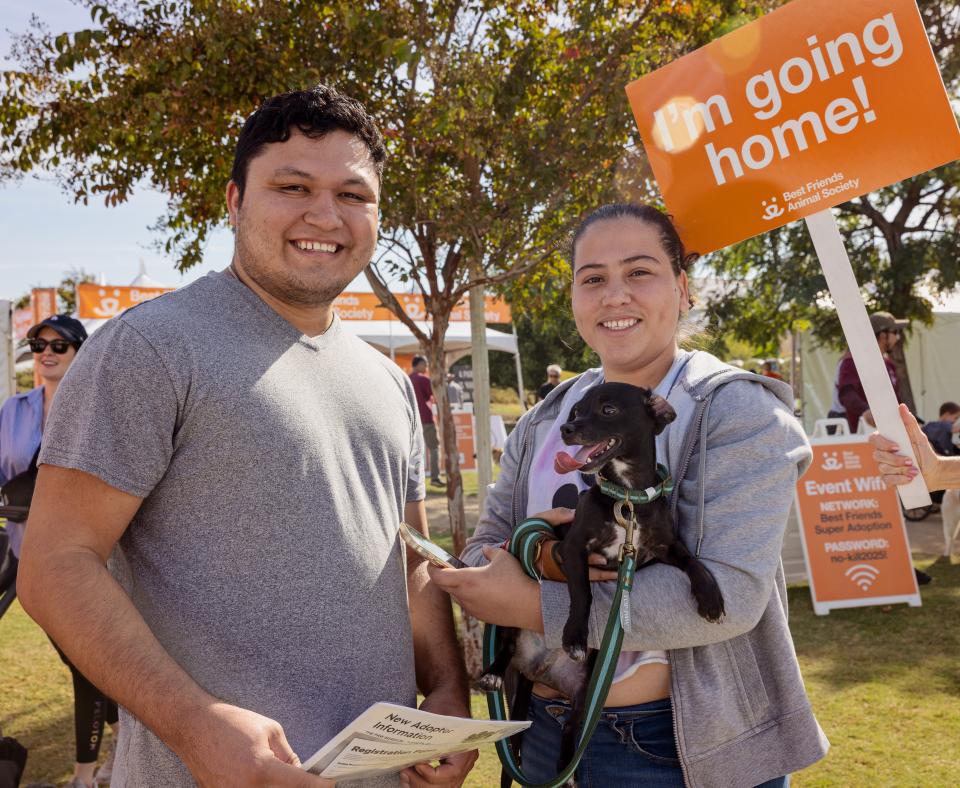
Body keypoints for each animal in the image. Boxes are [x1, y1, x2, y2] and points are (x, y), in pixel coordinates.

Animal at [476, 382, 724, 780]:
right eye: (575, 411)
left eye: (608, 410)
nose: (567, 429)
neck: (627, 497)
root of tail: (537, 669)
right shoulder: (571, 550)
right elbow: (583, 594)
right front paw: (575, 636)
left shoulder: (660, 549)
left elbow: (693, 561)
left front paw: (710, 596)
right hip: (505, 619)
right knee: (507, 647)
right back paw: (494, 675)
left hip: (583, 695)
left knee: (570, 732)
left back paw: (567, 774)